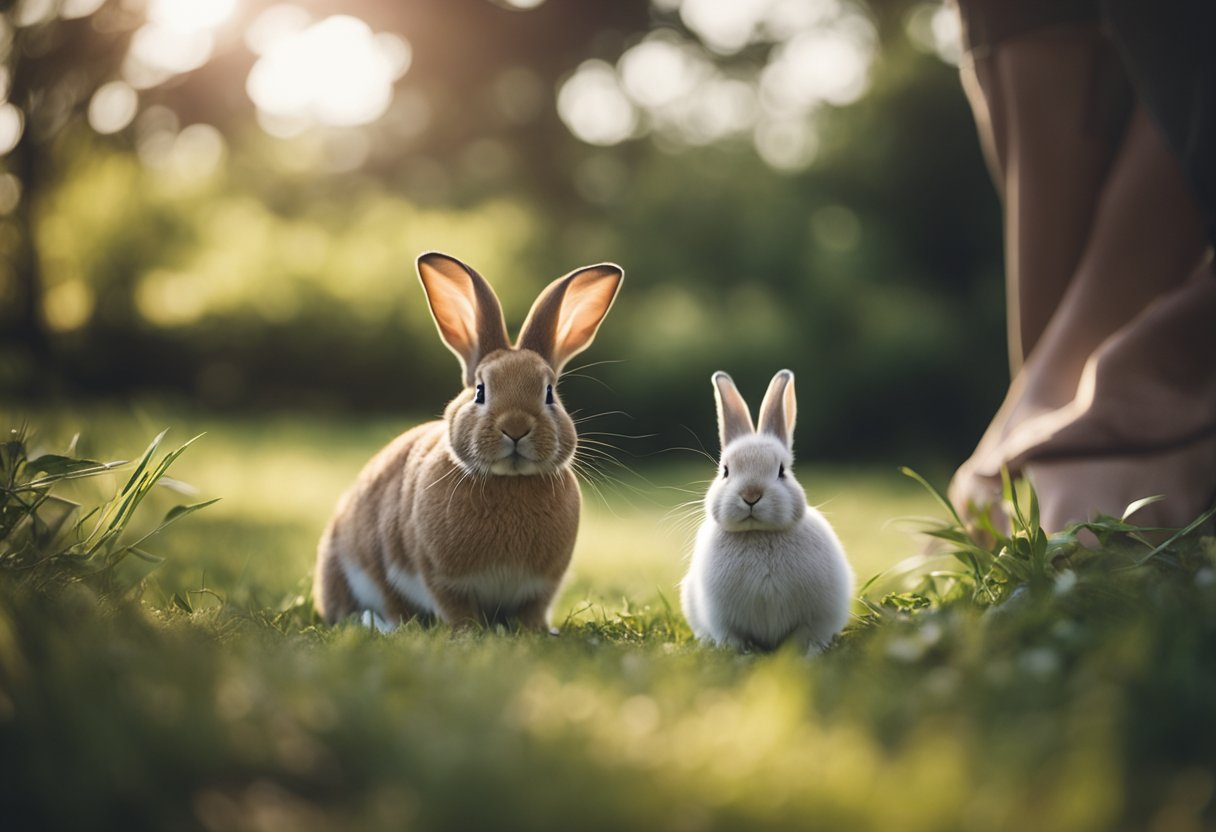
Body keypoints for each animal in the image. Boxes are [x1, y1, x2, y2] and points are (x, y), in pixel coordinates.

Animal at [313, 251, 622, 632]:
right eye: (480, 391)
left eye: (549, 393)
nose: (515, 427)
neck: (510, 481)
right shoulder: (439, 578)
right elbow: (455, 609)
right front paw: (467, 634)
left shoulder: (542, 587)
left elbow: (532, 611)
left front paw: (540, 632)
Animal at [680, 369, 851, 656]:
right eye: (725, 471)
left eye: (782, 471)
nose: (751, 496)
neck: (759, 533)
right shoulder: (722, 619)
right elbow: (732, 637)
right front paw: (737, 653)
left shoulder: (816, 618)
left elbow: (807, 636)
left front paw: (810, 654)